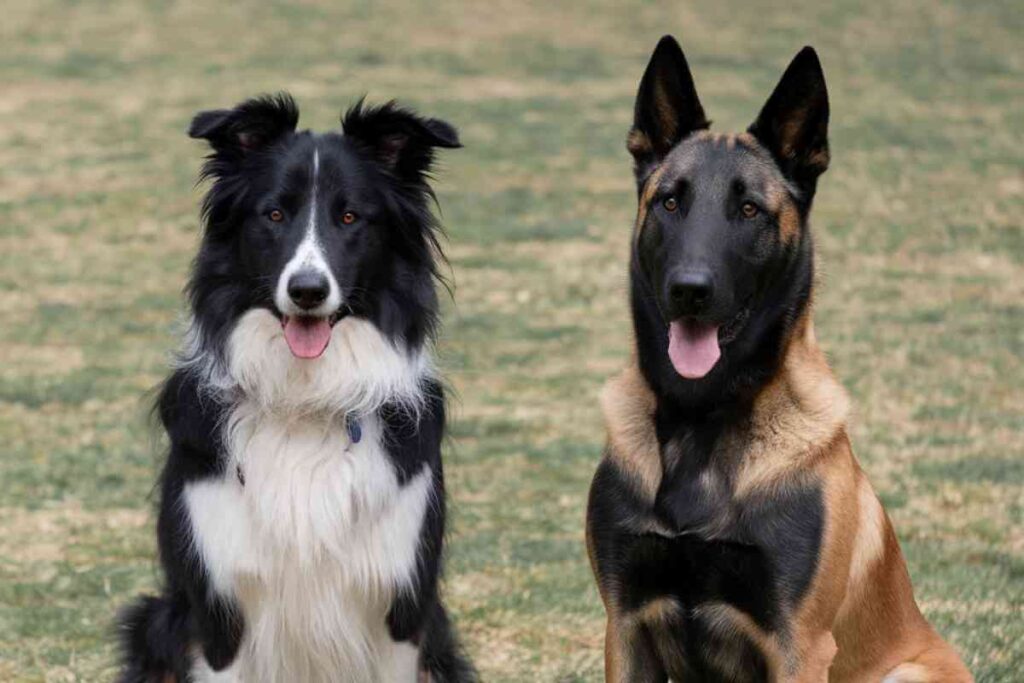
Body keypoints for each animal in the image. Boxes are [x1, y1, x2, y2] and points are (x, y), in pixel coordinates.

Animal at [118, 94, 475, 683]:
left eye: (350, 217)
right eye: (274, 214)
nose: (308, 291)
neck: (305, 400)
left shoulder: (400, 608)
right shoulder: (219, 614)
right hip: (152, 621)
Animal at [589, 38, 970, 683]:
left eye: (748, 211)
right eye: (670, 202)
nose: (689, 290)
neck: (702, 419)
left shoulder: (799, 644)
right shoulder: (625, 627)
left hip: (909, 671)